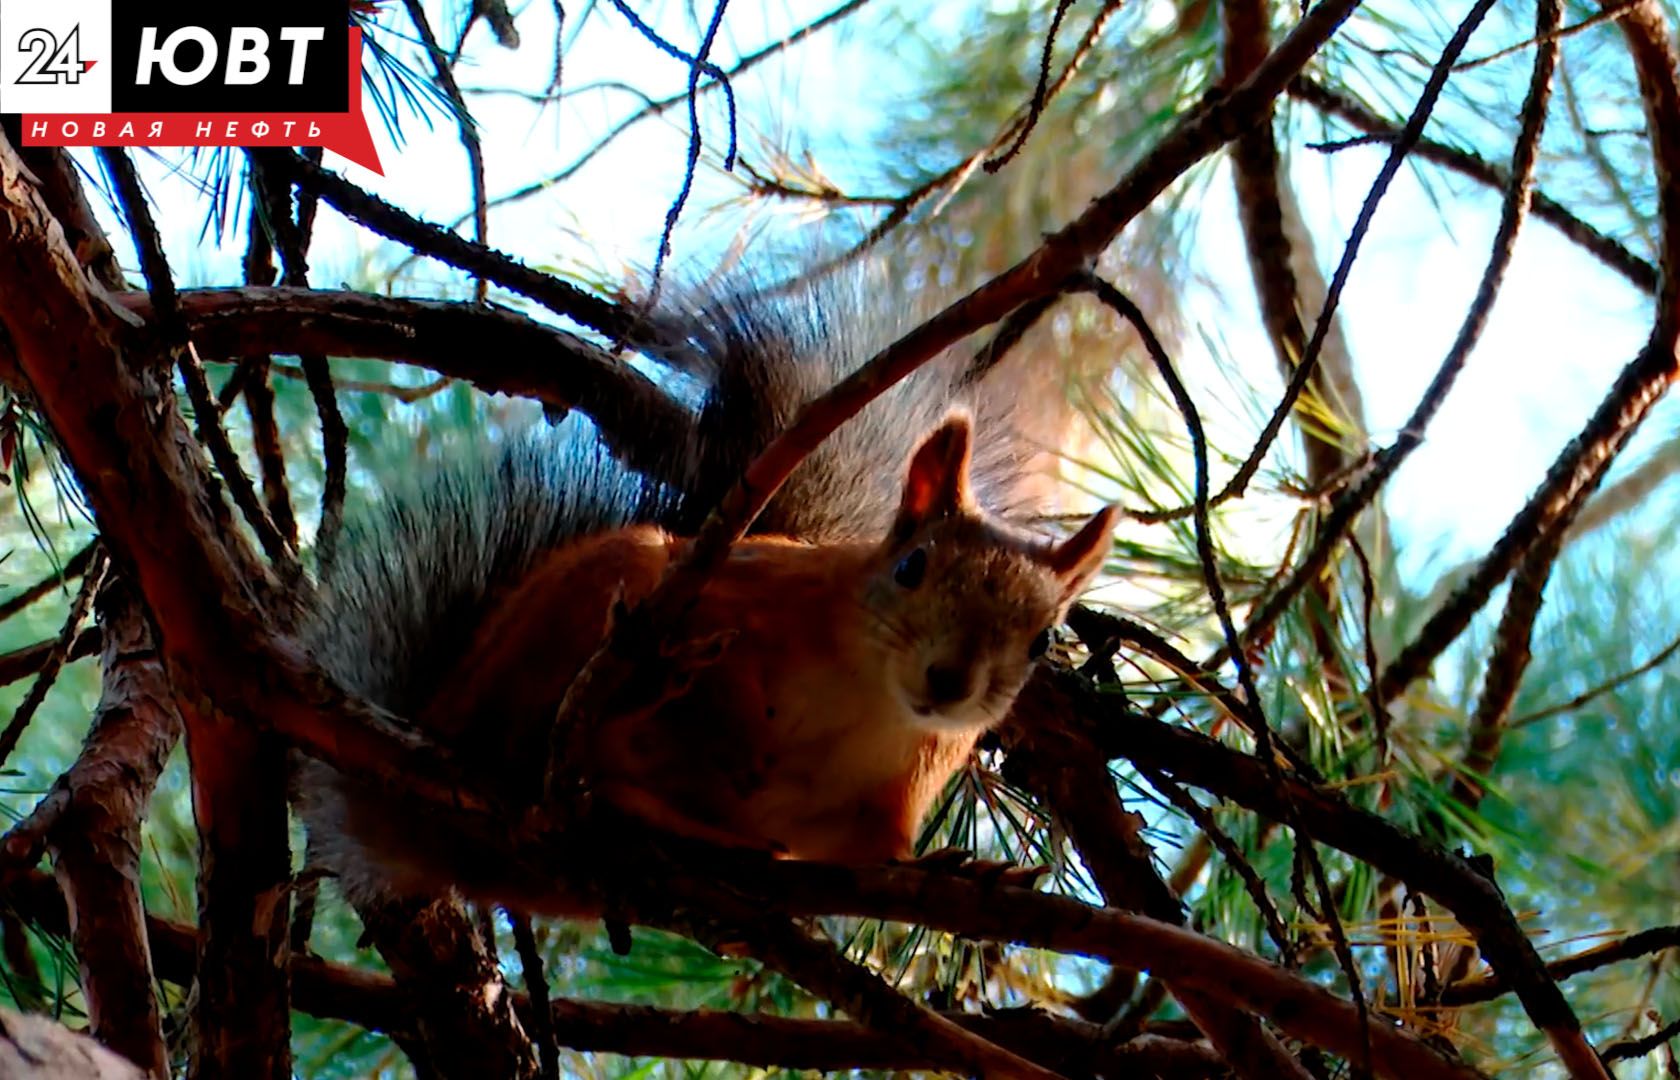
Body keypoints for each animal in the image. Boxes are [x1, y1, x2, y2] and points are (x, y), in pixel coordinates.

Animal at [297, 265, 1115, 913]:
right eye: (912, 567)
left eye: (1042, 639)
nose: (949, 681)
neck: (872, 698)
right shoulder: (742, 592)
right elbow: (724, 674)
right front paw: (727, 734)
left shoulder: (880, 798)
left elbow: (871, 851)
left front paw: (960, 872)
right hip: (578, 614)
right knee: (522, 736)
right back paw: (636, 697)